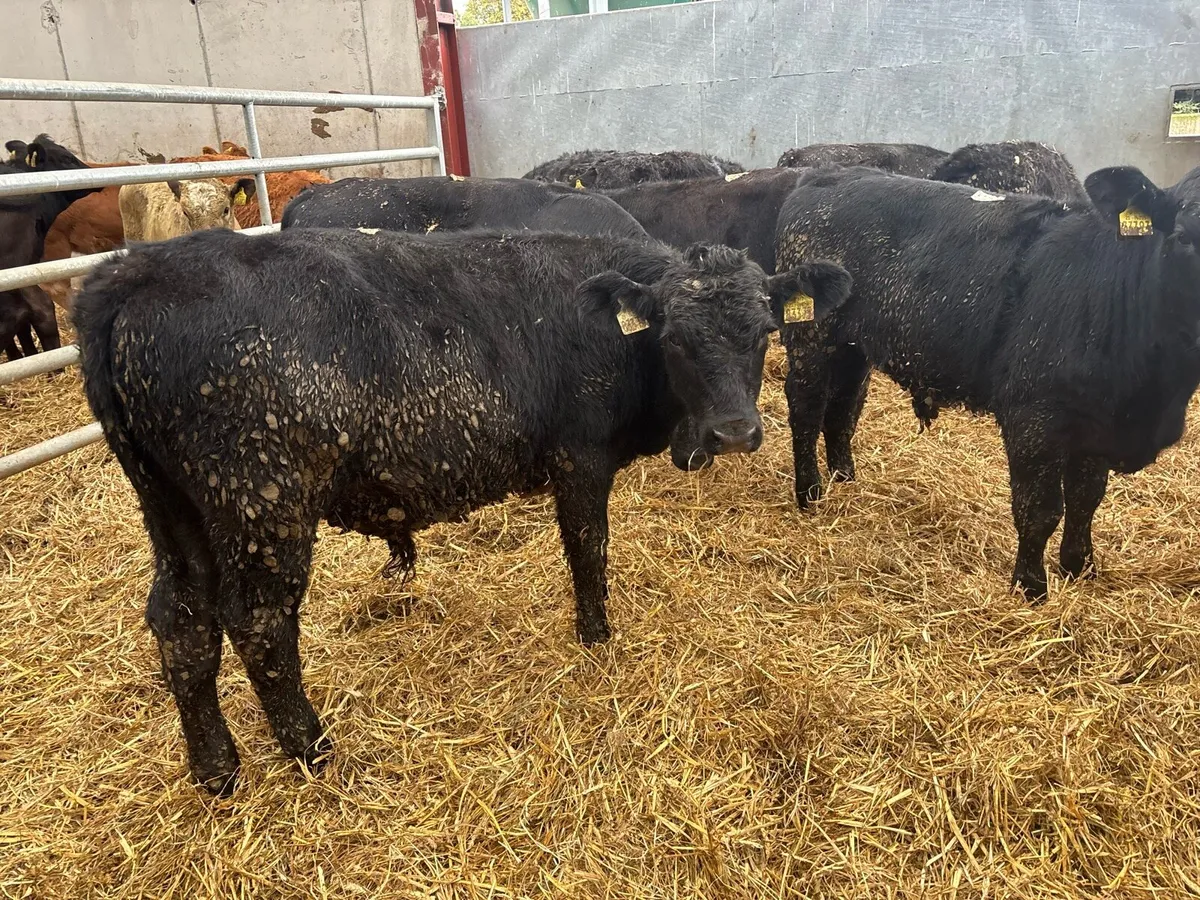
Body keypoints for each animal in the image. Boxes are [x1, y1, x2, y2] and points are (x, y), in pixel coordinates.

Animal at [74, 227, 852, 793]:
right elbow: (588, 548)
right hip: (263, 500)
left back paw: (217, 770)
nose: (735, 433)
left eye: (764, 332)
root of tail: (138, 268)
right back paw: (315, 752)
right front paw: (597, 637)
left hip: (175, 509)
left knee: (182, 619)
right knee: (259, 623)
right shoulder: (579, 458)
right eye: (675, 340)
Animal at [774, 165, 1200, 600]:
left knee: (842, 408)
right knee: (807, 408)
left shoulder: (1096, 427)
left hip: (853, 348)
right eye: (1183, 236)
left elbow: (1086, 500)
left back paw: (845, 477)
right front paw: (1030, 588)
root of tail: (828, 173)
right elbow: (1040, 510)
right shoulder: (1033, 420)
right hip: (811, 337)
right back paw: (810, 493)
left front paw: (1080, 568)